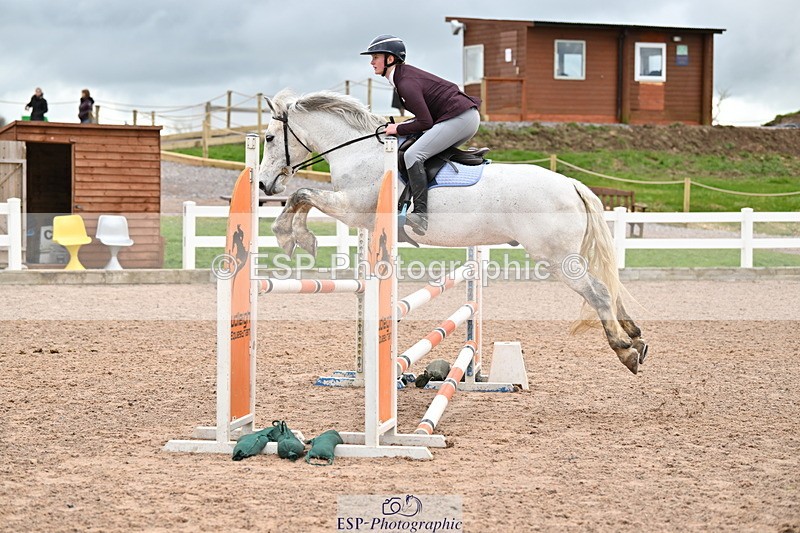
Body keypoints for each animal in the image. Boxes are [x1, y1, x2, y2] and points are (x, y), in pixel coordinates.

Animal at [257, 89, 648, 374]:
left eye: (271, 137)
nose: (262, 183)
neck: (359, 153)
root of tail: (571, 183)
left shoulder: (352, 208)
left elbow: (302, 195)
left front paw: (291, 236)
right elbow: (304, 197)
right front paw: (296, 236)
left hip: (557, 258)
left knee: (598, 292)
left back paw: (625, 350)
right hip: (569, 256)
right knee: (609, 287)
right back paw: (635, 337)